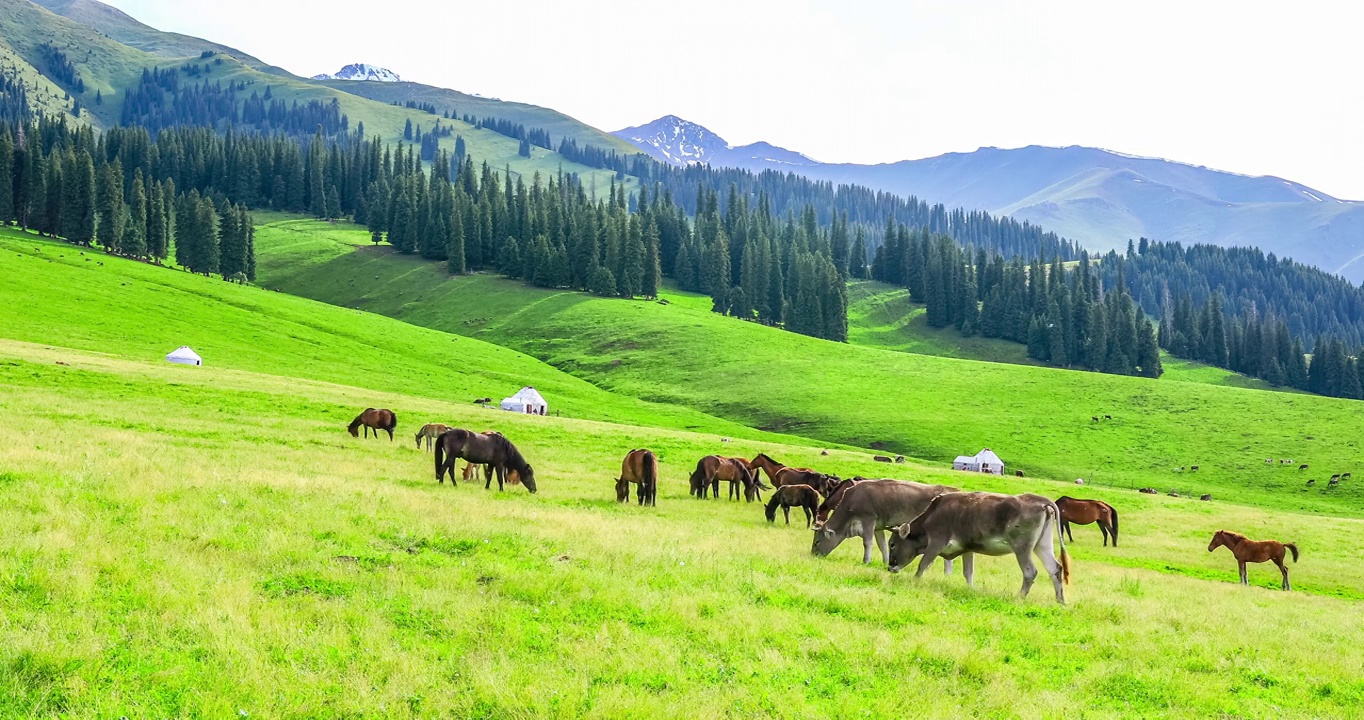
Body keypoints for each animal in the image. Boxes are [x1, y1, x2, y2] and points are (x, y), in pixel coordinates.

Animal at [807, 480, 960, 564]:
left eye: (817, 542)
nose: (813, 556)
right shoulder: (878, 526)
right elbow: (882, 545)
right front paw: (885, 562)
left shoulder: (868, 519)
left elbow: (867, 543)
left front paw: (866, 561)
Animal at [883, 490, 1074, 605]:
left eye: (892, 544)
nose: (890, 567)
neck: (933, 514)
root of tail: (1040, 500)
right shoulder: (967, 549)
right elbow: (968, 572)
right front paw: (970, 589)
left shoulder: (936, 543)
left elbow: (923, 564)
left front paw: (914, 581)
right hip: (1042, 546)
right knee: (1055, 569)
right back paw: (1060, 600)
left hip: (1022, 548)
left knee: (1030, 572)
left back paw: (1019, 597)